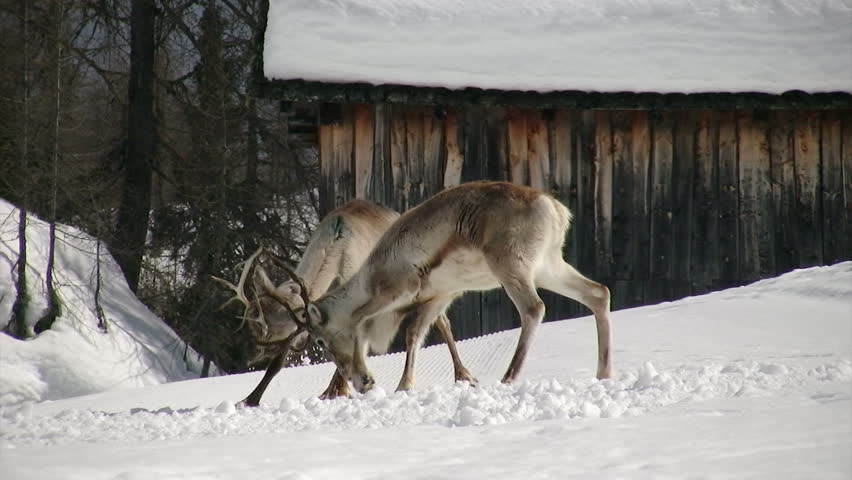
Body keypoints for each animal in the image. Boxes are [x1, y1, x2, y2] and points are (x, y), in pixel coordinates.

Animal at [215, 199, 476, 406]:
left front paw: (338, 390)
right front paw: (249, 399)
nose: (246, 357)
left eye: (267, 332)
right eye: (251, 323)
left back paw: (464, 375)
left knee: (441, 323)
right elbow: (278, 365)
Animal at [268, 181, 612, 394]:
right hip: (548, 269)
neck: (370, 275)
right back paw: (604, 373)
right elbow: (413, 334)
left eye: (321, 340)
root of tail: (552, 207)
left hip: (513, 271)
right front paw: (403, 386)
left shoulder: (400, 290)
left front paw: (368, 380)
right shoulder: (437, 297)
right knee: (598, 293)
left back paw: (508, 377)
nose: (354, 378)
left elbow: (362, 321)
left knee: (534, 308)